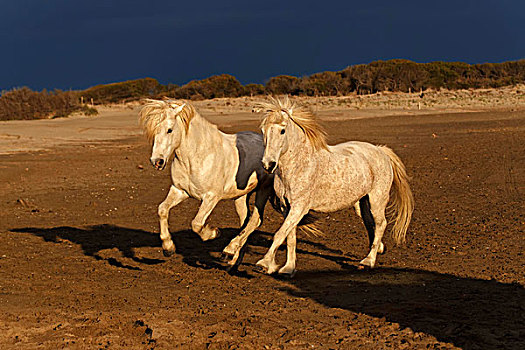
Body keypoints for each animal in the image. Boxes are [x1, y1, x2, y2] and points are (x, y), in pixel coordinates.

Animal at [137, 98, 272, 266]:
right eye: (153, 130)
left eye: (169, 130)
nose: (157, 161)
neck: (198, 156)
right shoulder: (180, 191)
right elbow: (162, 209)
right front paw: (168, 247)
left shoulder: (211, 197)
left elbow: (196, 224)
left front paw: (213, 233)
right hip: (241, 196)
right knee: (245, 221)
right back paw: (232, 259)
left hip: (263, 190)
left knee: (255, 221)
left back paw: (228, 252)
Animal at [237, 96, 414, 276]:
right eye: (264, 131)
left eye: (282, 131)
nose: (268, 164)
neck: (299, 165)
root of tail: (381, 151)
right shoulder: (287, 207)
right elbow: (290, 237)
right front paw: (288, 268)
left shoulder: (299, 207)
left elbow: (280, 234)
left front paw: (264, 264)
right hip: (363, 203)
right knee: (370, 224)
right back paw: (377, 250)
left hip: (376, 200)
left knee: (380, 224)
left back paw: (368, 261)